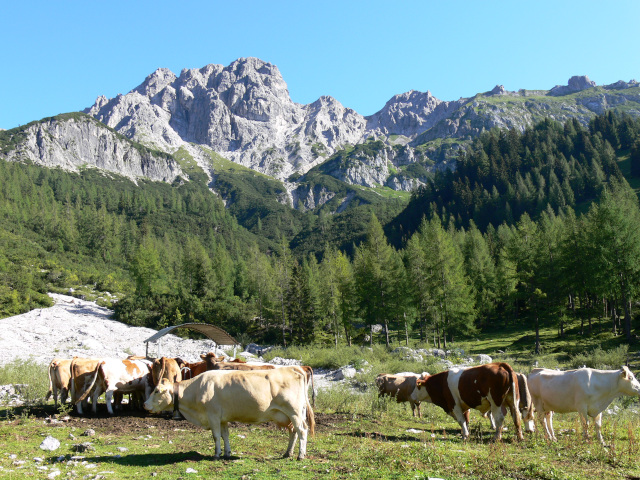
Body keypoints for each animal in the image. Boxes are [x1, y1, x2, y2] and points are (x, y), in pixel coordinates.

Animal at [144, 366, 316, 460]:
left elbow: (216, 436)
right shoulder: (222, 418)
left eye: (157, 391)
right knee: (293, 432)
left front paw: (216, 454)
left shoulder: (213, 415)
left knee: (302, 430)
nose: (145, 404)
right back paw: (288, 453)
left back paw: (300, 455)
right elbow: (225, 435)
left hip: (294, 411)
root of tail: (295, 367)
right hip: (292, 414)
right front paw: (227, 453)